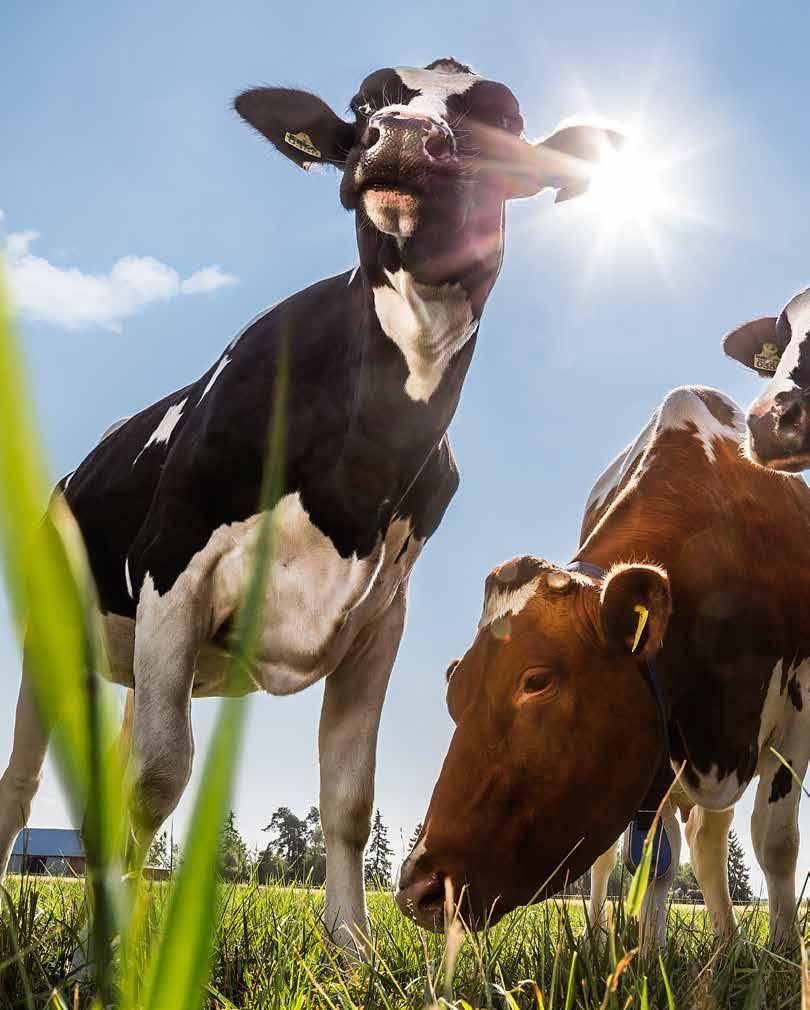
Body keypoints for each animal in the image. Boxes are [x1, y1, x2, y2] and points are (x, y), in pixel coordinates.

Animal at [0, 59, 614, 949]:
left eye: (503, 117)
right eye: (363, 103)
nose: (400, 136)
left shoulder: (380, 617)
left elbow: (348, 796)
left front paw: (352, 950)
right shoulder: (173, 569)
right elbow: (160, 777)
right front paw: (110, 960)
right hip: (57, 639)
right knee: (23, 786)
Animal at [397, 383, 807, 945]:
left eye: (537, 680)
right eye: (453, 698)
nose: (418, 891)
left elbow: (776, 841)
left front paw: (783, 948)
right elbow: (653, 860)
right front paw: (649, 950)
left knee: (705, 839)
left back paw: (726, 941)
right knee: (625, 857)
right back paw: (605, 934)